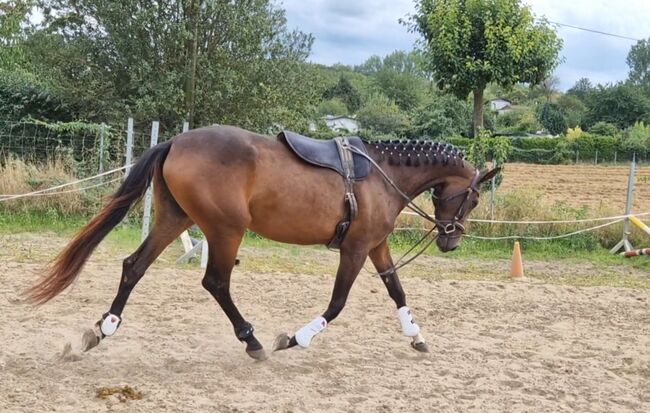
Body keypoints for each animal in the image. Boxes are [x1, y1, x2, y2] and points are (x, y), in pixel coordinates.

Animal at [26, 125, 496, 360]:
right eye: (473, 198)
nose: (451, 242)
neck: (383, 174)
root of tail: (176, 140)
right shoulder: (355, 249)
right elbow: (338, 303)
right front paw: (296, 339)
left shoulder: (375, 246)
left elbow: (397, 290)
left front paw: (416, 336)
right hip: (225, 229)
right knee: (215, 282)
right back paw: (251, 341)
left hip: (175, 219)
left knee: (134, 266)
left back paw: (103, 328)